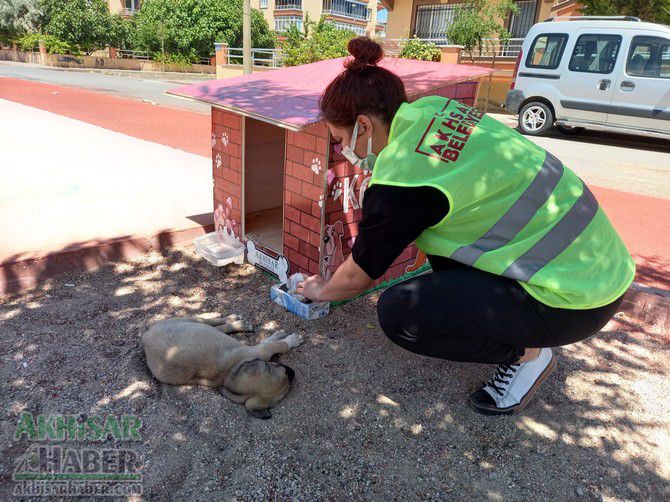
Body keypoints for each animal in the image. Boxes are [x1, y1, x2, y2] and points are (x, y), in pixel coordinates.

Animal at [146, 314, 306, 420]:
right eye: (281, 369)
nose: (293, 372)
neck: (229, 375)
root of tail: (145, 337)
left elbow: (267, 340)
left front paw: (278, 335)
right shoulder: (260, 352)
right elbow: (277, 344)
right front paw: (291, 339)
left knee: (217, 327)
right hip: (189, 321)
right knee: (212, 322)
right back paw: (237, 323)